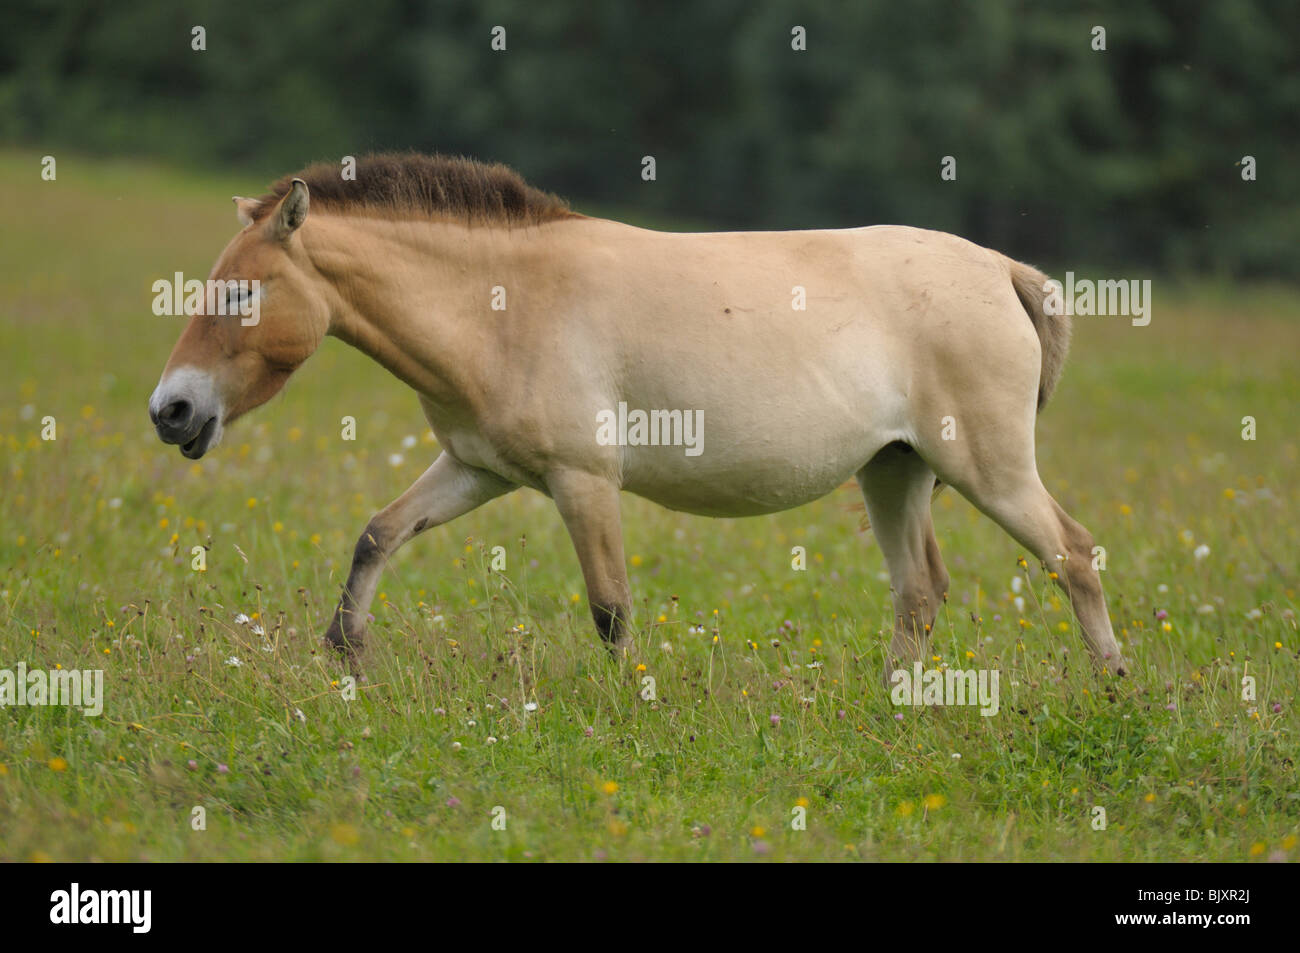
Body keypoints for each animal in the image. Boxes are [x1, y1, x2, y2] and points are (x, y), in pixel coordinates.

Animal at [149, 152, 1128, 676]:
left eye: (240, 292)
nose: (171, 409)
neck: (502, 303)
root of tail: (1001, 268)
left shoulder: (584, 483)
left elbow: (611, 610)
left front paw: (632, 709)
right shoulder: (477, 471)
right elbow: (378, 534)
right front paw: (346, 649)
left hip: (988, 470)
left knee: (1074, 555)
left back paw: (1115, 687)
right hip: (896, 471)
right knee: (920, 593)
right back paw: (895, 706)